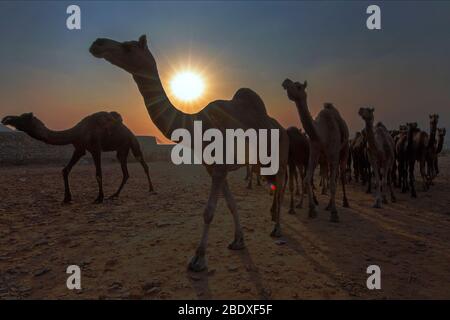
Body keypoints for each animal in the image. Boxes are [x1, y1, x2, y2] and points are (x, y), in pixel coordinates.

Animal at [1, 111, 155, 204]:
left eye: (23, 117)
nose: (6, 119)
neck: (78, 131)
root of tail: (129, 131)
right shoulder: (80, 149)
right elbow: (65, 170)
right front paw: (66, 198)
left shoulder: (95, 148)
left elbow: (98, 174)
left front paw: (99, 198)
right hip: (121, 149)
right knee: (126, 172)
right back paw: (115, 195)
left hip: (133, 143)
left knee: (143, 163)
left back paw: (151, 189)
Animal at [89, 35, 290, 272]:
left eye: (128, 47)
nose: (97, 43)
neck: (196, 125)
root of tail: (283, 128)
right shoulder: (214, 168)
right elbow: (230, 204)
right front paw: (238, 241)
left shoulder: (220, 167)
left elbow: (209, 211)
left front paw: (198, 259)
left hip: (280, 157)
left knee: (281, 185)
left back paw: (277, 228)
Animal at [284, 79, 350, 222]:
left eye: (298, 86)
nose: (285, 82)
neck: (321, 134)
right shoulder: (314, 151)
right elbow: (307, 178)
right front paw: (312, 210)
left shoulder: (334, 154)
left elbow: (332, 183)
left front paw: (334, 214)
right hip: (324, 158)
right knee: (330, 175)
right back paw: (328, 205)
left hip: (344, 151)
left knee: (340, 176)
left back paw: (344, 202)